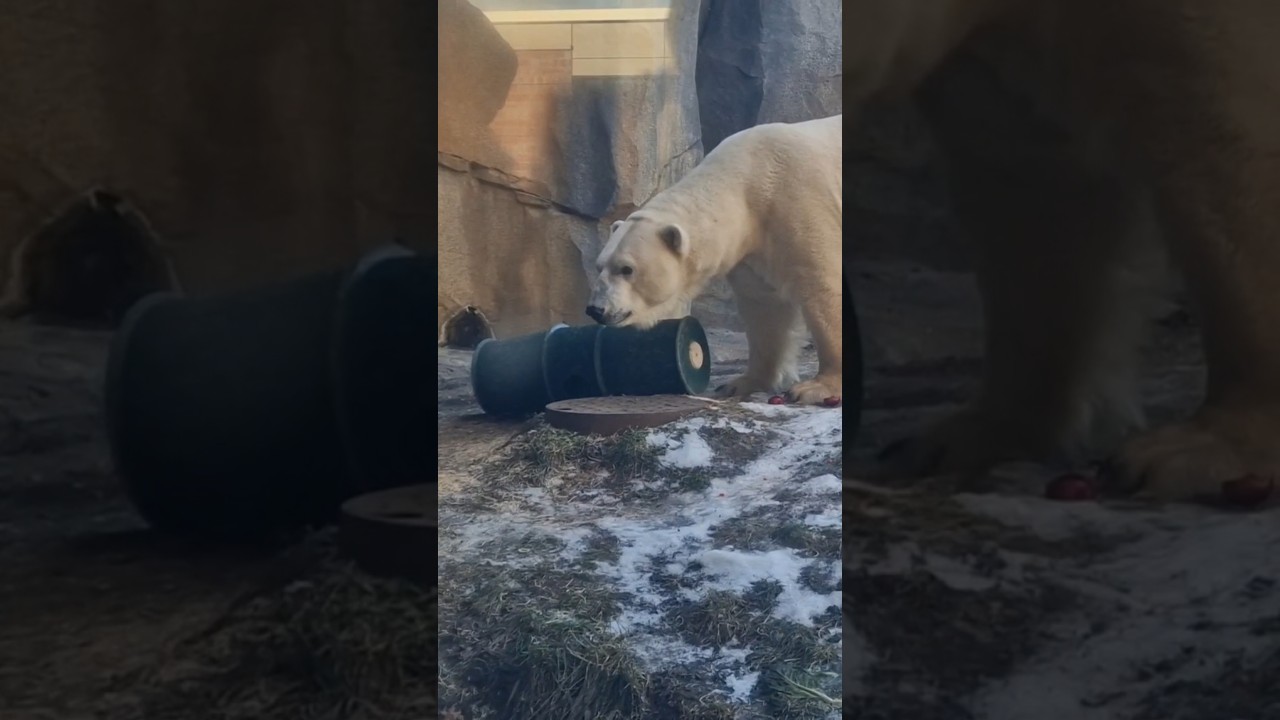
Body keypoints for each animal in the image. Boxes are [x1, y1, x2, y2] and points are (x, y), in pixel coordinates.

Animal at [587, 115, 842, 405]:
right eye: (600, 266)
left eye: (627, 269)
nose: (596, 309)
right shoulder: (753, 247)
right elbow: (765, 309)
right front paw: (739, 383)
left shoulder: (800, 202)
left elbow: (822, 287)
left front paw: (816, 387)